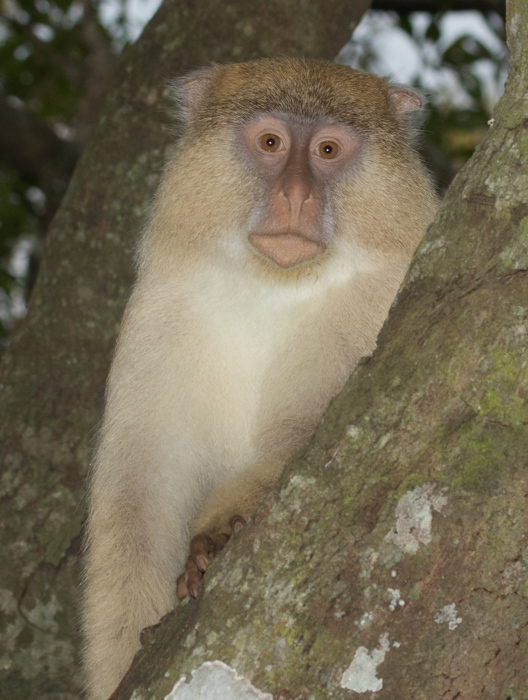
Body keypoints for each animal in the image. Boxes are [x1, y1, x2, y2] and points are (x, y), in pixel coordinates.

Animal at [82, 60, 438, 700]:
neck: (271, 285)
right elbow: (138, 499)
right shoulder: (159, 310)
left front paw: (219, 534)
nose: (296, 196)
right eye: (271, 143)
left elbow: (319, 436)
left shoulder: (381, 296)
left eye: (327, 150)